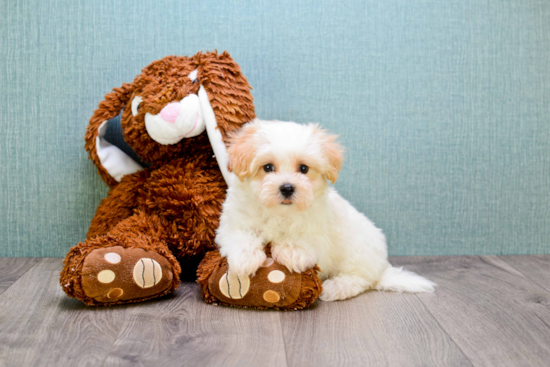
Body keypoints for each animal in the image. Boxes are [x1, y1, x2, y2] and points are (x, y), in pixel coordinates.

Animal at [216, 121, 436, 302]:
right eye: (268, 167)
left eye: (304, 168)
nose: (287, 188)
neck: (280, 212)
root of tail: (381, 269)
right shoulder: (233, 221)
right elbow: (240, 235)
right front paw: (245, 259)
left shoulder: (319, 229)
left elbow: (304, 238)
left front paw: (291, 251)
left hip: (357, 251)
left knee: (359, 279)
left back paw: (336, 287)